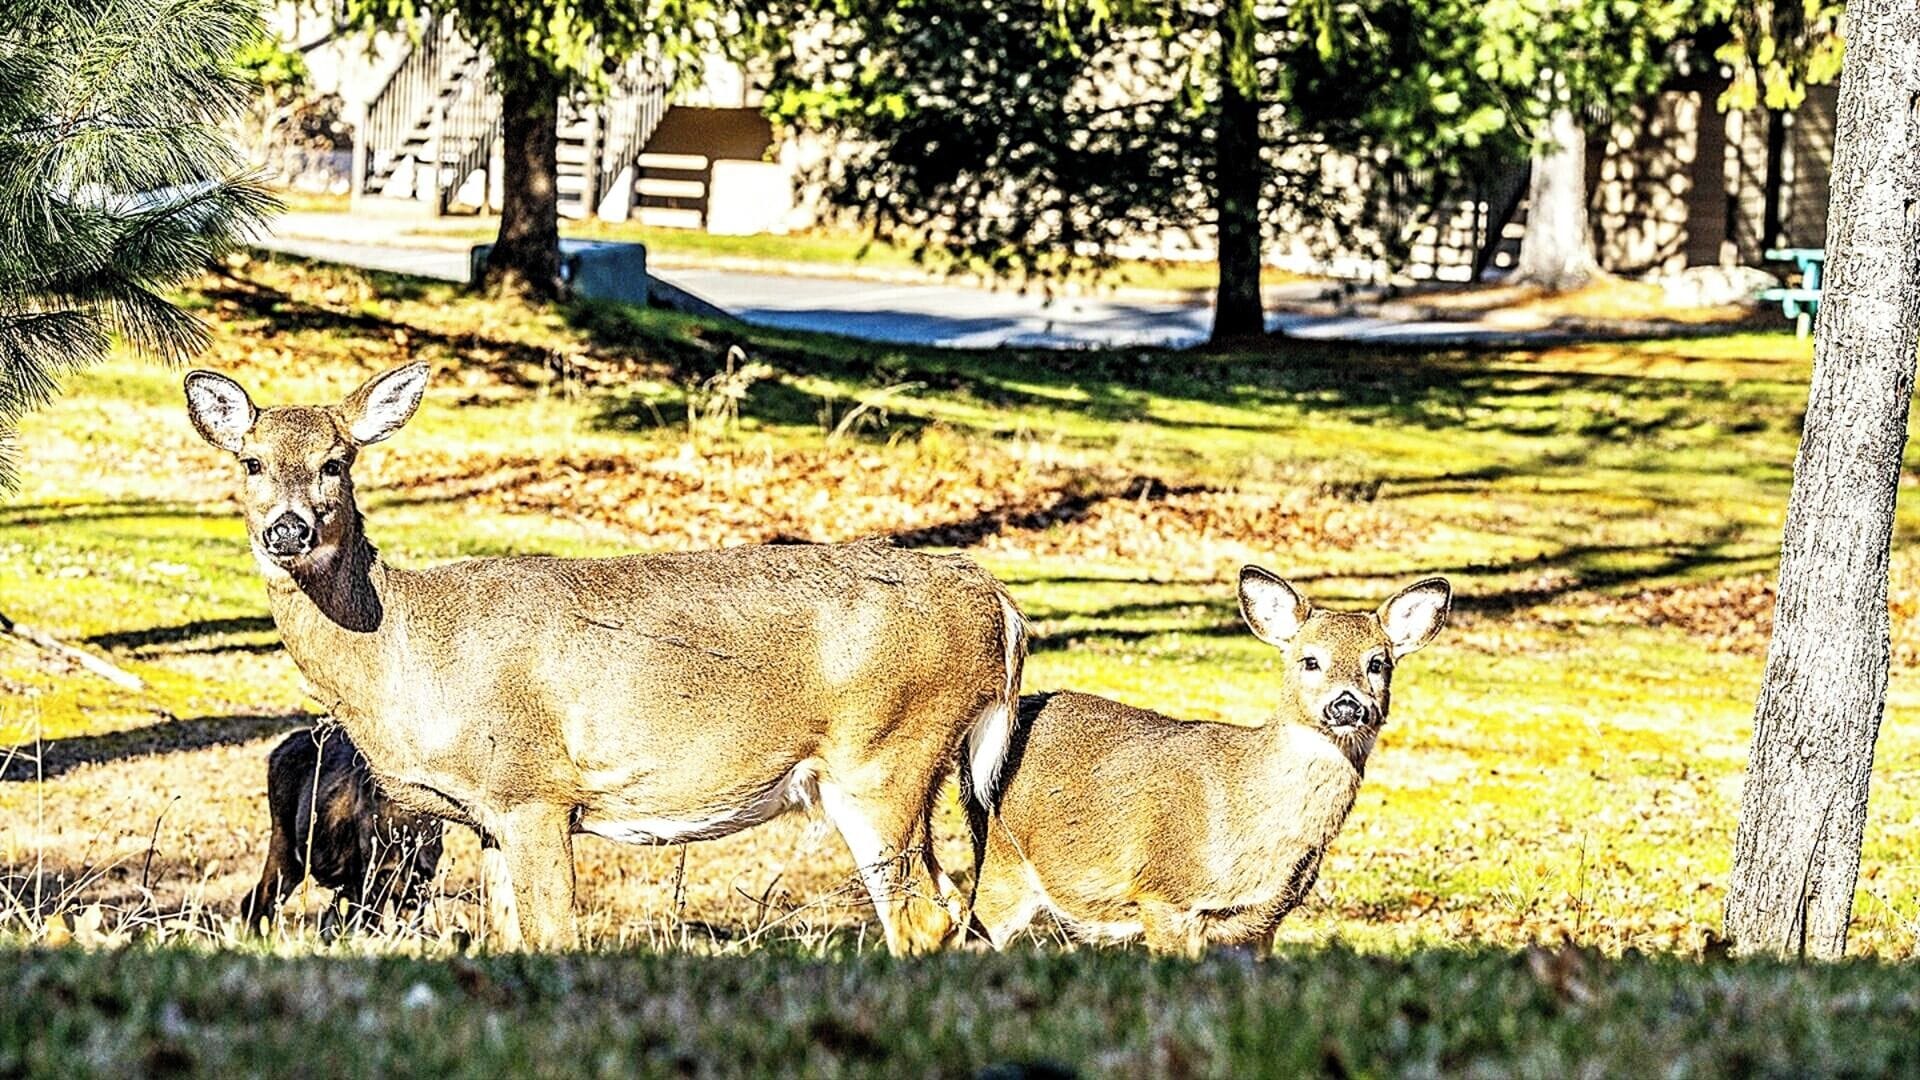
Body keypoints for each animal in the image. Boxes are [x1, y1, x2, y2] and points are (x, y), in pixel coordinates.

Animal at [240, 725, 445, 939]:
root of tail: (277, 751)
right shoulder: (372, 875)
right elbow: (371, 925)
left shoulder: (419, 879)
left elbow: (408, 929)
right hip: (285, 843)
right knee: (262, 896)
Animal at [961, 568, 1450, 957]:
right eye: (1310, 660)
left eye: (1378, 663)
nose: (1347, 705)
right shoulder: (1166, 895)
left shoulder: (1261, 923)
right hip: (1003, 863)